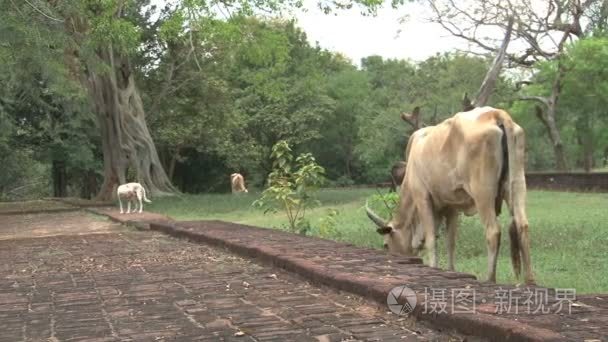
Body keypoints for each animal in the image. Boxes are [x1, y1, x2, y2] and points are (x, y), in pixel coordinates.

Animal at [366, 106, 532, 284]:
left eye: (386, 244)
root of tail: (495, 114)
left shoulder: (422, 197)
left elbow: (431, 239)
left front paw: (433, 267)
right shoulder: (452, 206)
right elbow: (450, 241)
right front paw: (451, 270)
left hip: (482, 192)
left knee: (493, 231)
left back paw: (490, 278)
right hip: (516, 183)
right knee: (522, 225)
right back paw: (530, 280)